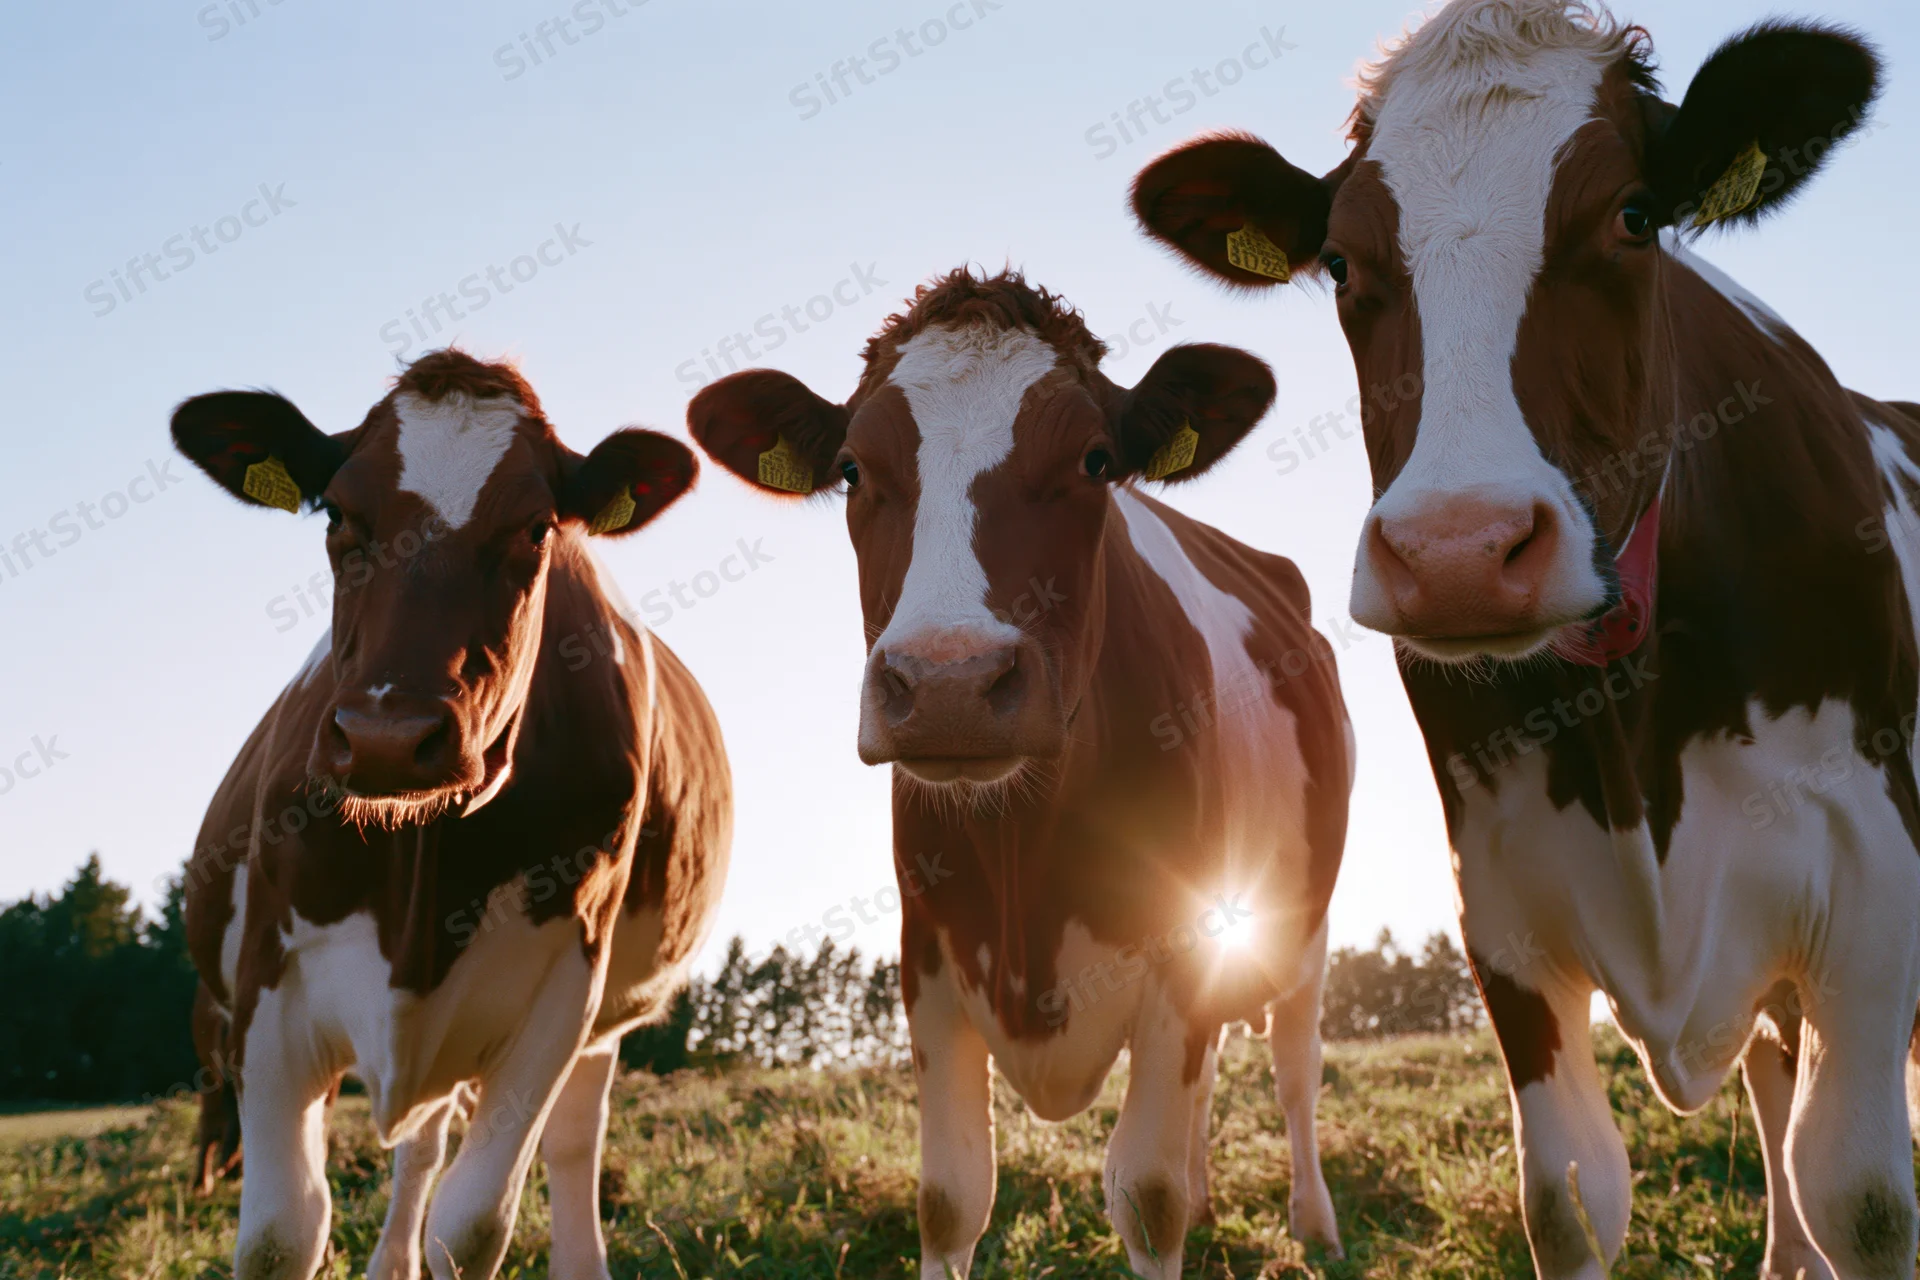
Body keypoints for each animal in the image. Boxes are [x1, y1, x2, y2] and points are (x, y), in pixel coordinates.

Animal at [171, 349, 732, 1280]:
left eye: (538, 529)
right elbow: (284, 1232)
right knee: (420, 1147)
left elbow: (470, 1225)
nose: (389, 739)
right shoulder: (266, 984)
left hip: (596, 1027)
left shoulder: (562, 994)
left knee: (567, 1143)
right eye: (338, 514)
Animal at [687, 268, 1354, 1278]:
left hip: (1301, 920)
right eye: (852, 469)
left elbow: (1147, 1196)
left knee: (1292, 1070)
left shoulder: (1185, 941)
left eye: (1095, 459)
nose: (950, 683)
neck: (1021, 846)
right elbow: (951, 1197)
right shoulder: (926, 953)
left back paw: (1314, 1221)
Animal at [1129, 2, 1917, 1276]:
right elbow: (1568, 1197)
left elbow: (1862, 1192)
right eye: (1341, 262)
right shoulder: (1501, 909)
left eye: (1634, 217)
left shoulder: (1871, 880)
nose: (1457, 548)